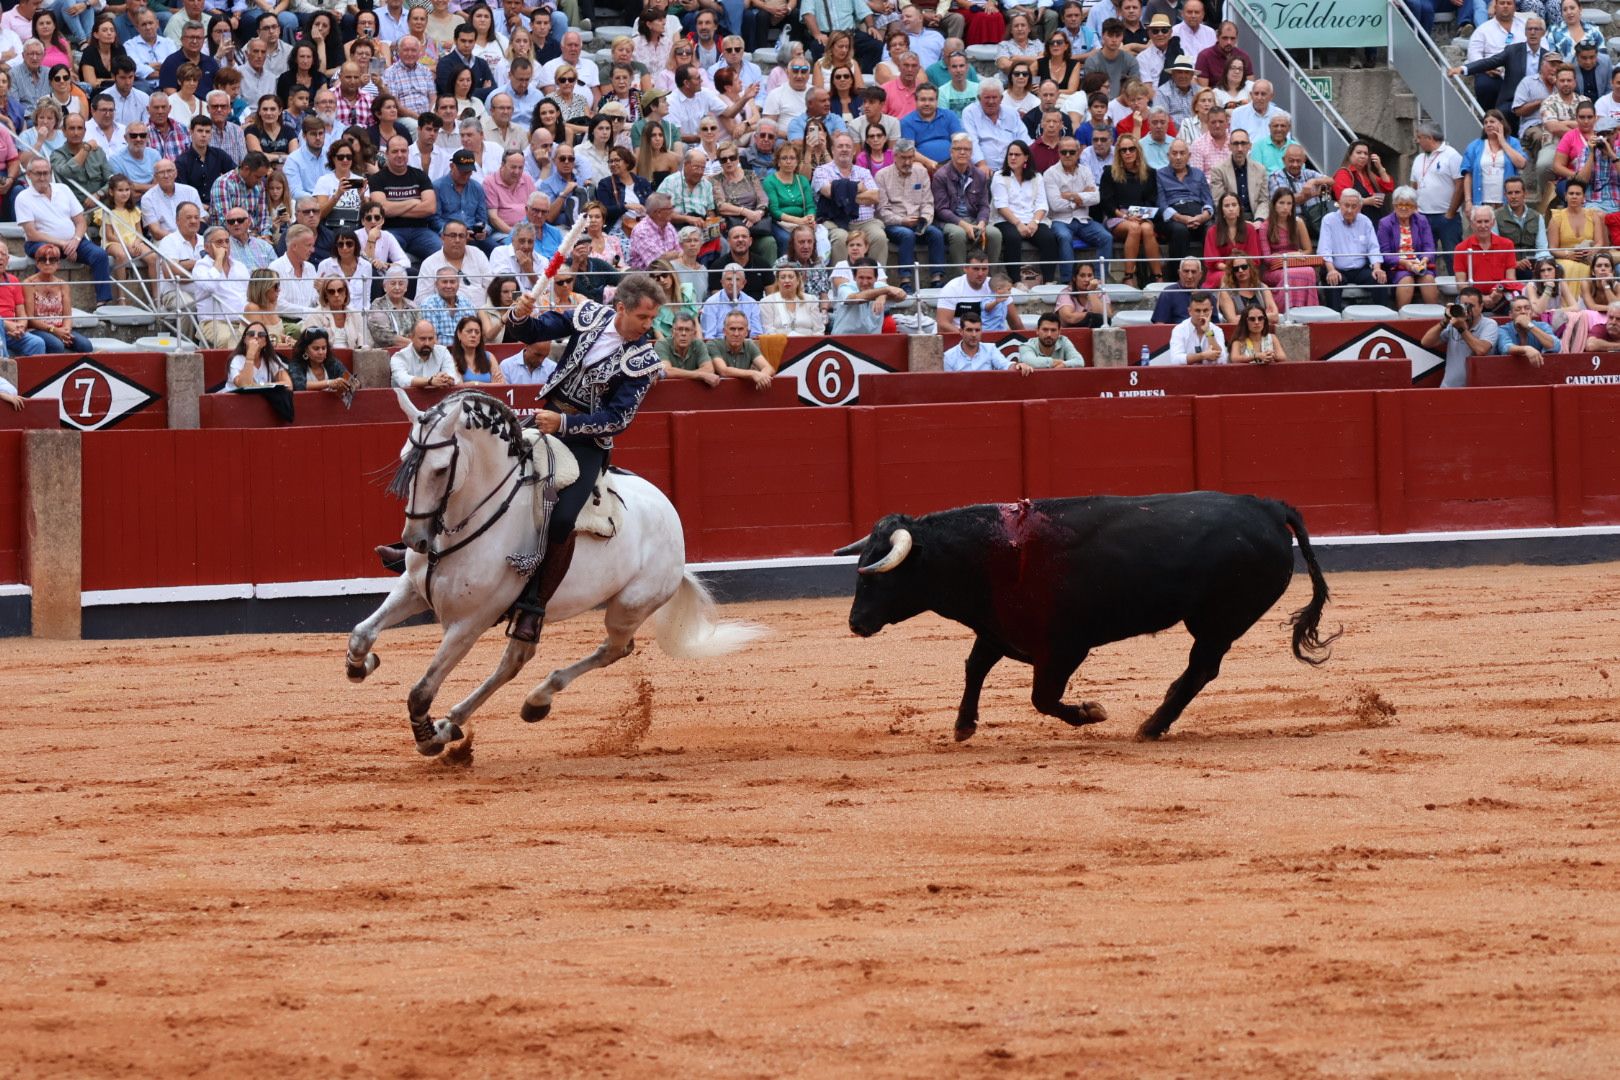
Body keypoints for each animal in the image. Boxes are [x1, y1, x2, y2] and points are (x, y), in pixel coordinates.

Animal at [349, 390, 764, 761]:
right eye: (405, 459)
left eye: (438, 469)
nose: (415, 540)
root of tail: (672, 516)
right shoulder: (413, 590)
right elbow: (361, 633)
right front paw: (361, 665)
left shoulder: (470, 622)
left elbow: (421, 690)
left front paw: (426, 737)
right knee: (517, 659)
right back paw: (464, 720)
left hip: (628, 606)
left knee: (614, 648)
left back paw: (530, 701)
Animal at [835, 492, 1341, 738]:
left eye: (878, 576)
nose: (856, 623)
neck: (990, 553)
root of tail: (1268, 508)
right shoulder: (998, 630)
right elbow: (974, 668)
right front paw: (963, 726)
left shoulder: (1063, 648)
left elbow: (1042, 698)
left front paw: (1091, 712)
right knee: (1200, 671)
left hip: (1219, 620)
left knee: (1202, 669)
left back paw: (1151, 726)